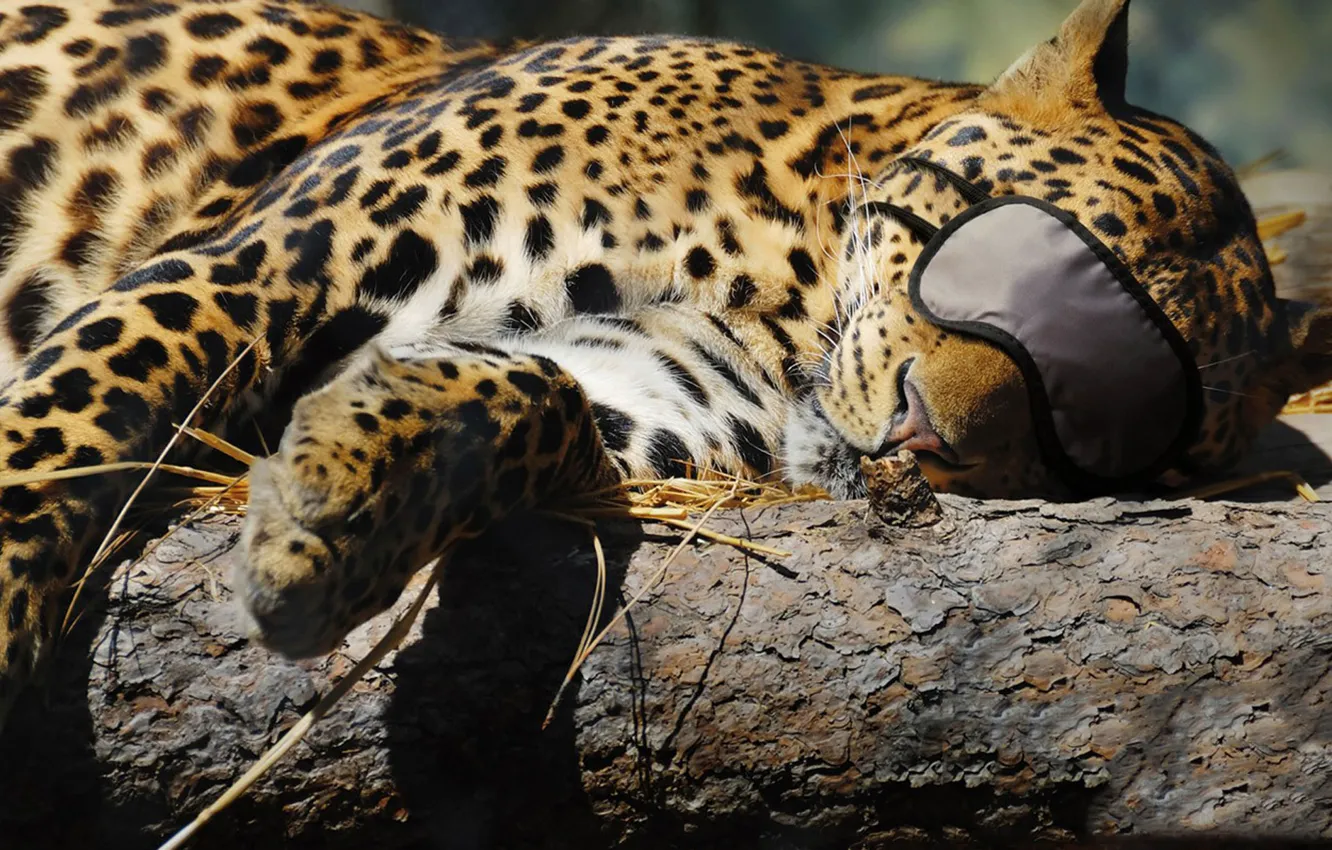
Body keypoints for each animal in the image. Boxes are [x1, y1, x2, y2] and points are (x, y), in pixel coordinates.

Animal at [0, 0, 1327, 728]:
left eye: (1098, 428)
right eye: (1001, 255)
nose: (925, 437)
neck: (779, 281)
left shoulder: (650, 393)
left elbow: (527, 392)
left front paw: (331, 509)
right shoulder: (271, 260)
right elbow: (66, 428)